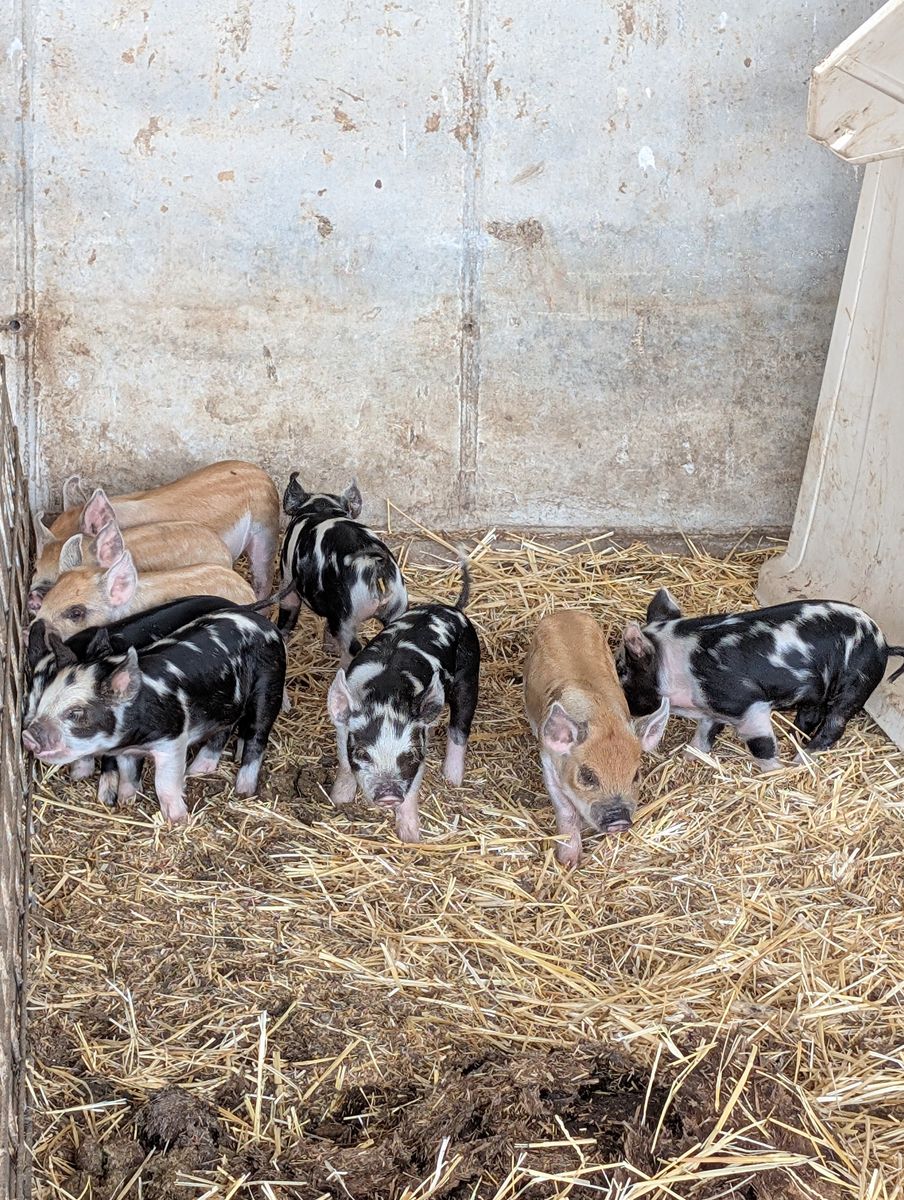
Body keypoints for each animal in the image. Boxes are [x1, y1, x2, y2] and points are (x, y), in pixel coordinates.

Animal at [22, 609, 287, 823]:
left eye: (75, 712)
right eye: (42, 700)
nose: (28, 735)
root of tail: (267, 624)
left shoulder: (173, 740)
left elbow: (165, 783)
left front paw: (178, 820)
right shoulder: (126, 750)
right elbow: (128, 775)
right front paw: (126, 802)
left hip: (269, 685)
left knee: (256, 737)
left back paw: (243, 791)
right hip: (226, 700)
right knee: (224, 728)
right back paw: (196, 770)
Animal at [276, 474, 408, 665]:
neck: (322, 508)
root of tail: (375, 565)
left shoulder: (287, 576)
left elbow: (287, 612)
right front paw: (328, 650)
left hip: (348, 614)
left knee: (353, 648)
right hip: (398, 606)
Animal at [326, 562, 479, 843]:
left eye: (408, 757)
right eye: (363, 753)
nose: (388, 795)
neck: (386, 694)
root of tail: (452, 609)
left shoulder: (421, 747)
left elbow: (412, 793)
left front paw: (411, 838)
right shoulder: (343, 730)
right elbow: (344, 765)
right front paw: (338, 801)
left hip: (470, 674)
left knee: (460, 727)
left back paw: (452, 780)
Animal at [523, 610, 670, 868]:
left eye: (636, 775)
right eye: (587, 776)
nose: (619, 821)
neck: (601, 717)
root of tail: (565, 613)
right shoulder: (548, 762)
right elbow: (566, 811)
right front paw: (569, 863)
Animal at [617, 589, 904, 770]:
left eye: (621, 670)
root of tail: (883, 644)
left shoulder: (747, 703)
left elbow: (760, 745)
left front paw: (776, 772)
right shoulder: (713, 707)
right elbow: (705, 732)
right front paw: (690, 757)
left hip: (855, 684)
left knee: (834, 725)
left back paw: (801, 760)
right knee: (810, 714)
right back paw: (793, 739)